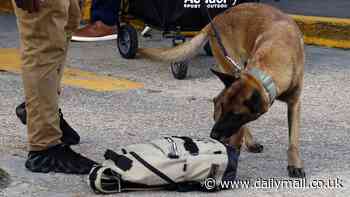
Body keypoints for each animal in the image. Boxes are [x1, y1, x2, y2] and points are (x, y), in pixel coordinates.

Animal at [138, 3, 304, 178]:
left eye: (235, 115)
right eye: (223, 108)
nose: (213, 136)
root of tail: (217, 18)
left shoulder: (294, 103)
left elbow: (293, 140)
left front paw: (294, 165)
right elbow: (237, 135)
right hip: (231, 64)